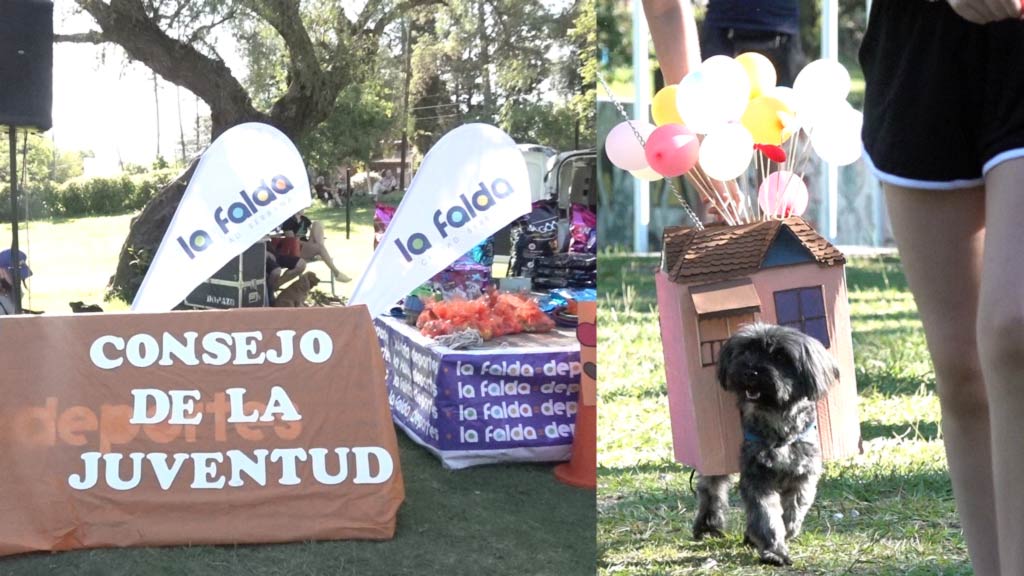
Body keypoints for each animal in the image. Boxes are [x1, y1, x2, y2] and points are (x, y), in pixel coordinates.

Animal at [688, 323, 839, 565]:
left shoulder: (803, 476)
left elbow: (793, 511)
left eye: (779, 356)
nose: (750, 371)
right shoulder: (757, 477)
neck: (778, 422)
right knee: (711, 489)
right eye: (746, 350)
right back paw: (708, 526)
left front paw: (780, 534)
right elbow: (766, 515)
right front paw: (774, 551)